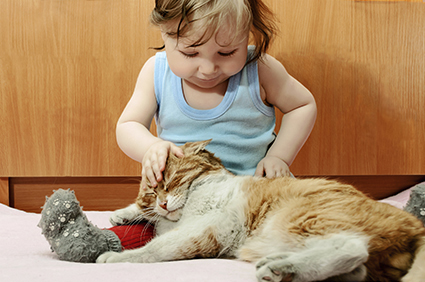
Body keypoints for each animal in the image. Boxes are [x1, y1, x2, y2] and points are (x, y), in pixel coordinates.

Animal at [97, 140, 424, 280]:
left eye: (172, 180)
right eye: (152, 192)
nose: (163, 203)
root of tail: (413, 224)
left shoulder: (207, 229)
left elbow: (156, 248)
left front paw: (118, 258)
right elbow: (146, 219)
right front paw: (123, 213)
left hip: (298, 219)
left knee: (351, 248)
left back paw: (280, 268)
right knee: (357, 270)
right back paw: (284, 267)